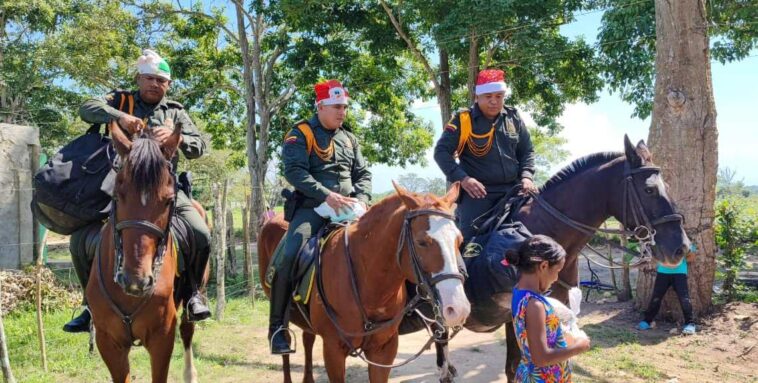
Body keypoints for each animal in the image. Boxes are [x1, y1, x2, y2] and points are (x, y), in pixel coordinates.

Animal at [87, 122, 208, 383]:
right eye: (116, 195)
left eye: (169, 200)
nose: (136, 281)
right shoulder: (108, 342)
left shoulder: (162, 337)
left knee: (187, 330)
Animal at [260, 183, 470, 383]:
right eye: (422, 242)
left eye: (459, 240)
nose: (458, 309)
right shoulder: (333, 350)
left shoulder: (384, 350)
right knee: (286, 342)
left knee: (307, 337)